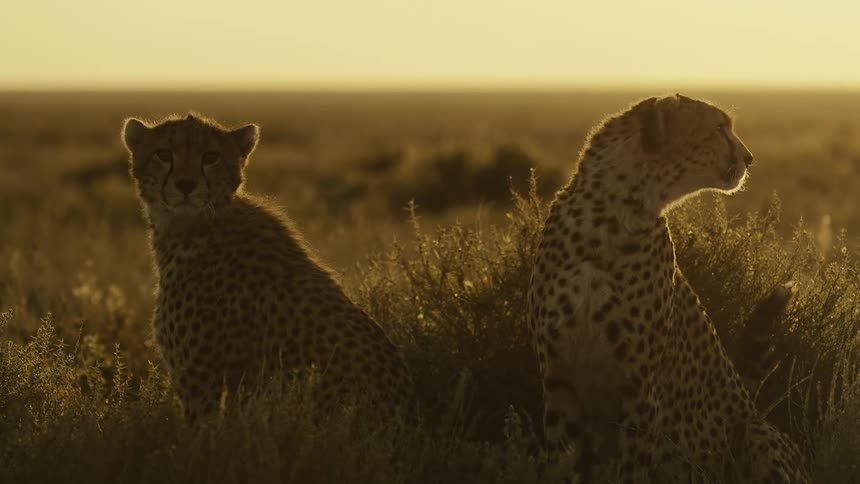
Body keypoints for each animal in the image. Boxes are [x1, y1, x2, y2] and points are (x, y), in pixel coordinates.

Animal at [526, 95, 810, 483]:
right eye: (718, 128)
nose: (749, 157)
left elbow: (633, 469)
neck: (609, 214)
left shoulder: (641, 389)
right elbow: (560, 463)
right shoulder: (559, 382)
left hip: (754, 433)